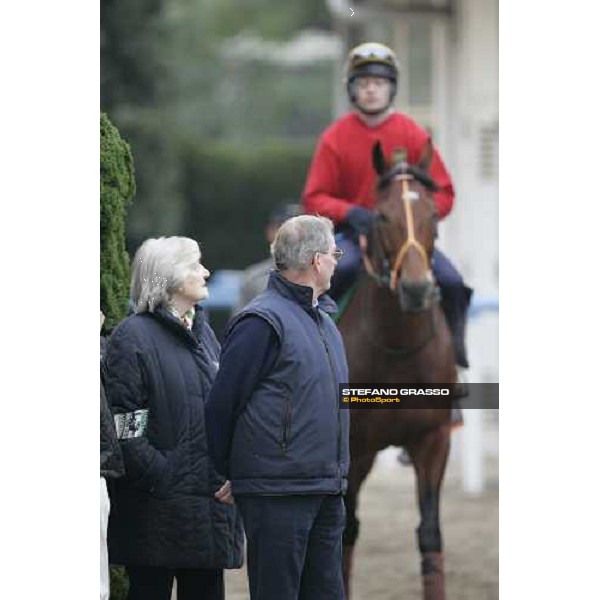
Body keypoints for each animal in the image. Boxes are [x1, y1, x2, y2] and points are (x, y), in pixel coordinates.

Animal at [338, 139, 454, 600]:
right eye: (381, 215)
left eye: (434, 215)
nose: (417, 289)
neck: (398, 348)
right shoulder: (352, 449)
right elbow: (345, 532)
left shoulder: (434, 440)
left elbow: (430, 533)